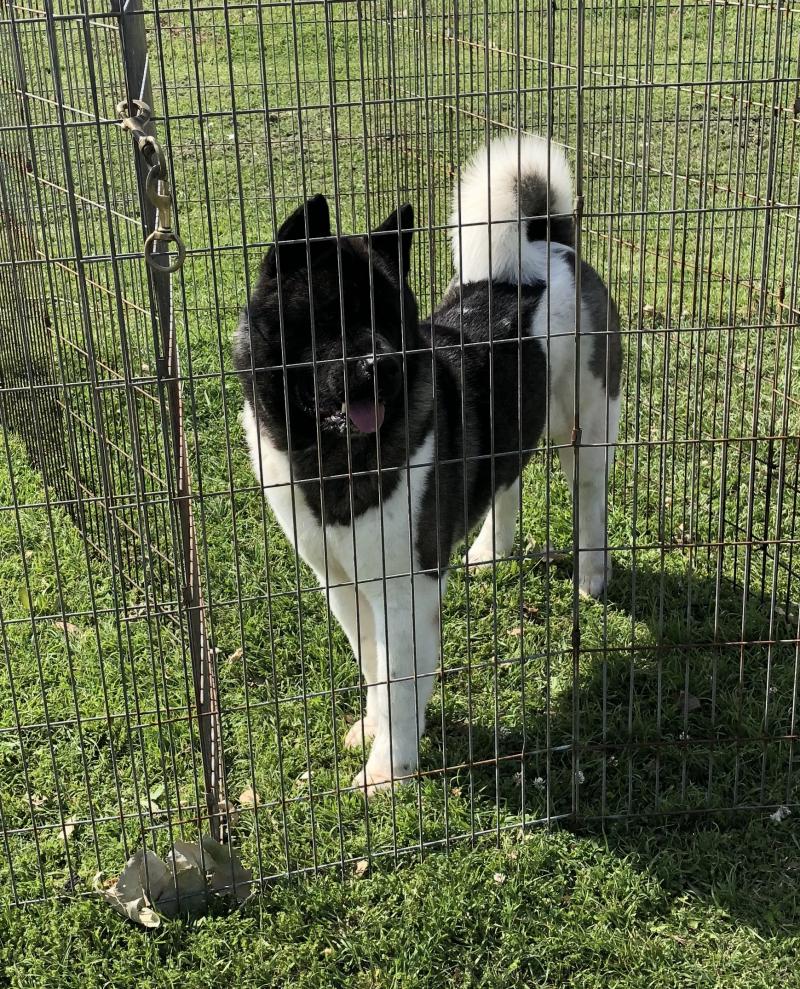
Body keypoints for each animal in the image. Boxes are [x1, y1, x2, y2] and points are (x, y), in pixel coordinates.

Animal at [233, 134, 621, 795]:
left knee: (589, 495)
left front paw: (388, 772)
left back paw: (591, 577)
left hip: (587, 427)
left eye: (393, 319)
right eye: (333, 318)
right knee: (505, 477)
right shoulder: (342, 583)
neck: (332, 455)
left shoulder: (404, 590)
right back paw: (490, 552)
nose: (382, 364)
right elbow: (374, 666)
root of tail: (551, 244)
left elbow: (398, 680)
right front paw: (376, 732)